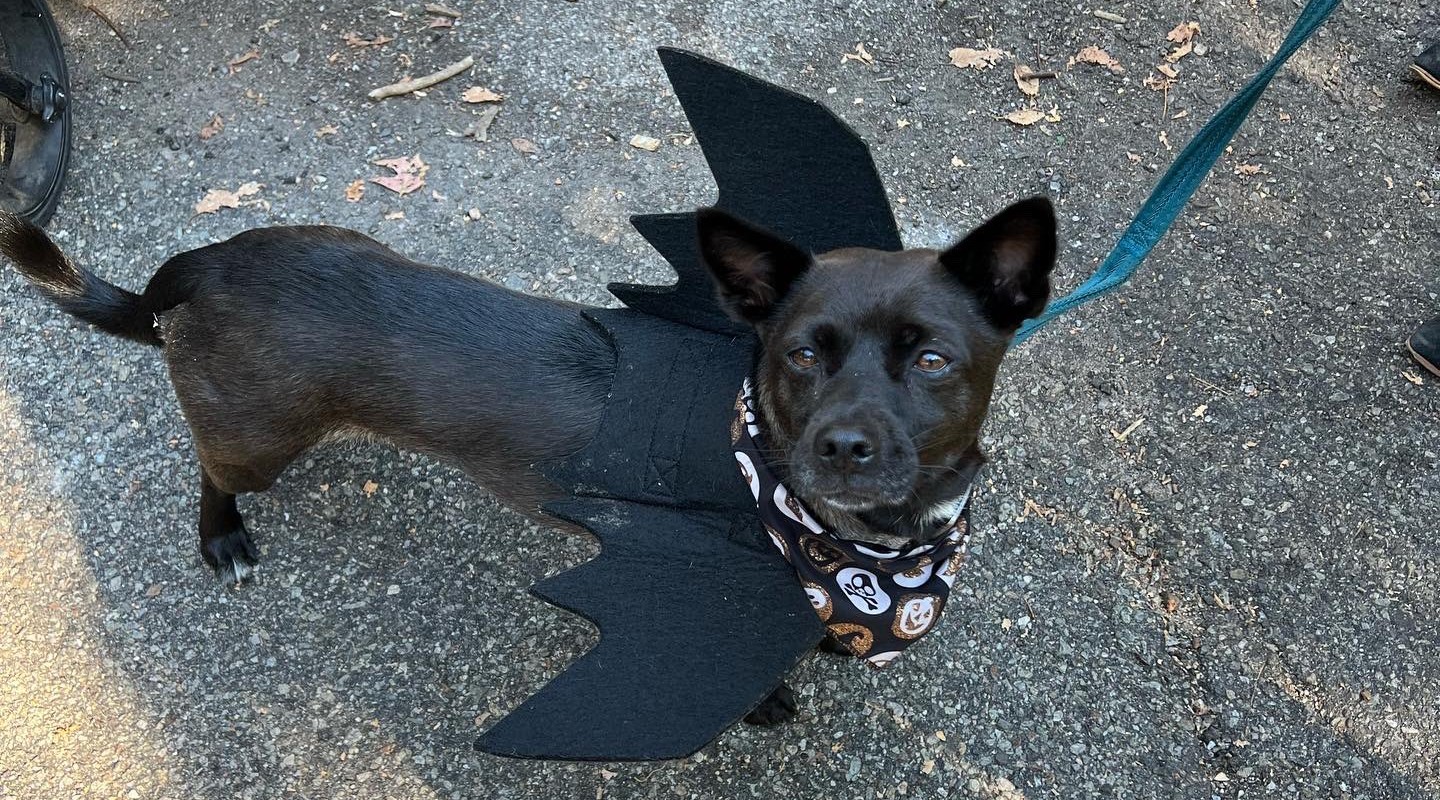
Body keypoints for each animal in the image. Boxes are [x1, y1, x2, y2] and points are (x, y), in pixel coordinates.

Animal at [0, 195, 1059, 725]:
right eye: (799, 354)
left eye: (932, 360)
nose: (840, 447)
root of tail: (209, 260)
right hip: (257, 438)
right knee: (215, 470)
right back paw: (223, 538)